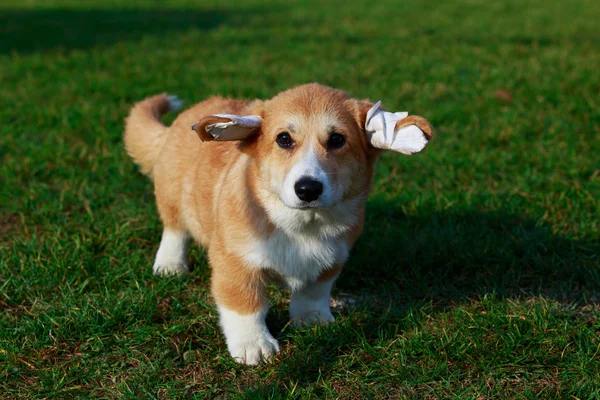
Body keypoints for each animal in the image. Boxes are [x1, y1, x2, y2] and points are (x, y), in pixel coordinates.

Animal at [124, 84, 432, 366]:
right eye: (284, 139)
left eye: (337, 139)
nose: (308, 189)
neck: (301, 226)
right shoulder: (235, 262)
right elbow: (244, 304)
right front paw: (254, 345)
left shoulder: (333, 258)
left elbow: (313, 291)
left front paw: (312, 319)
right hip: (172, 197)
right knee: (174, 230)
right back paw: (170, 265)